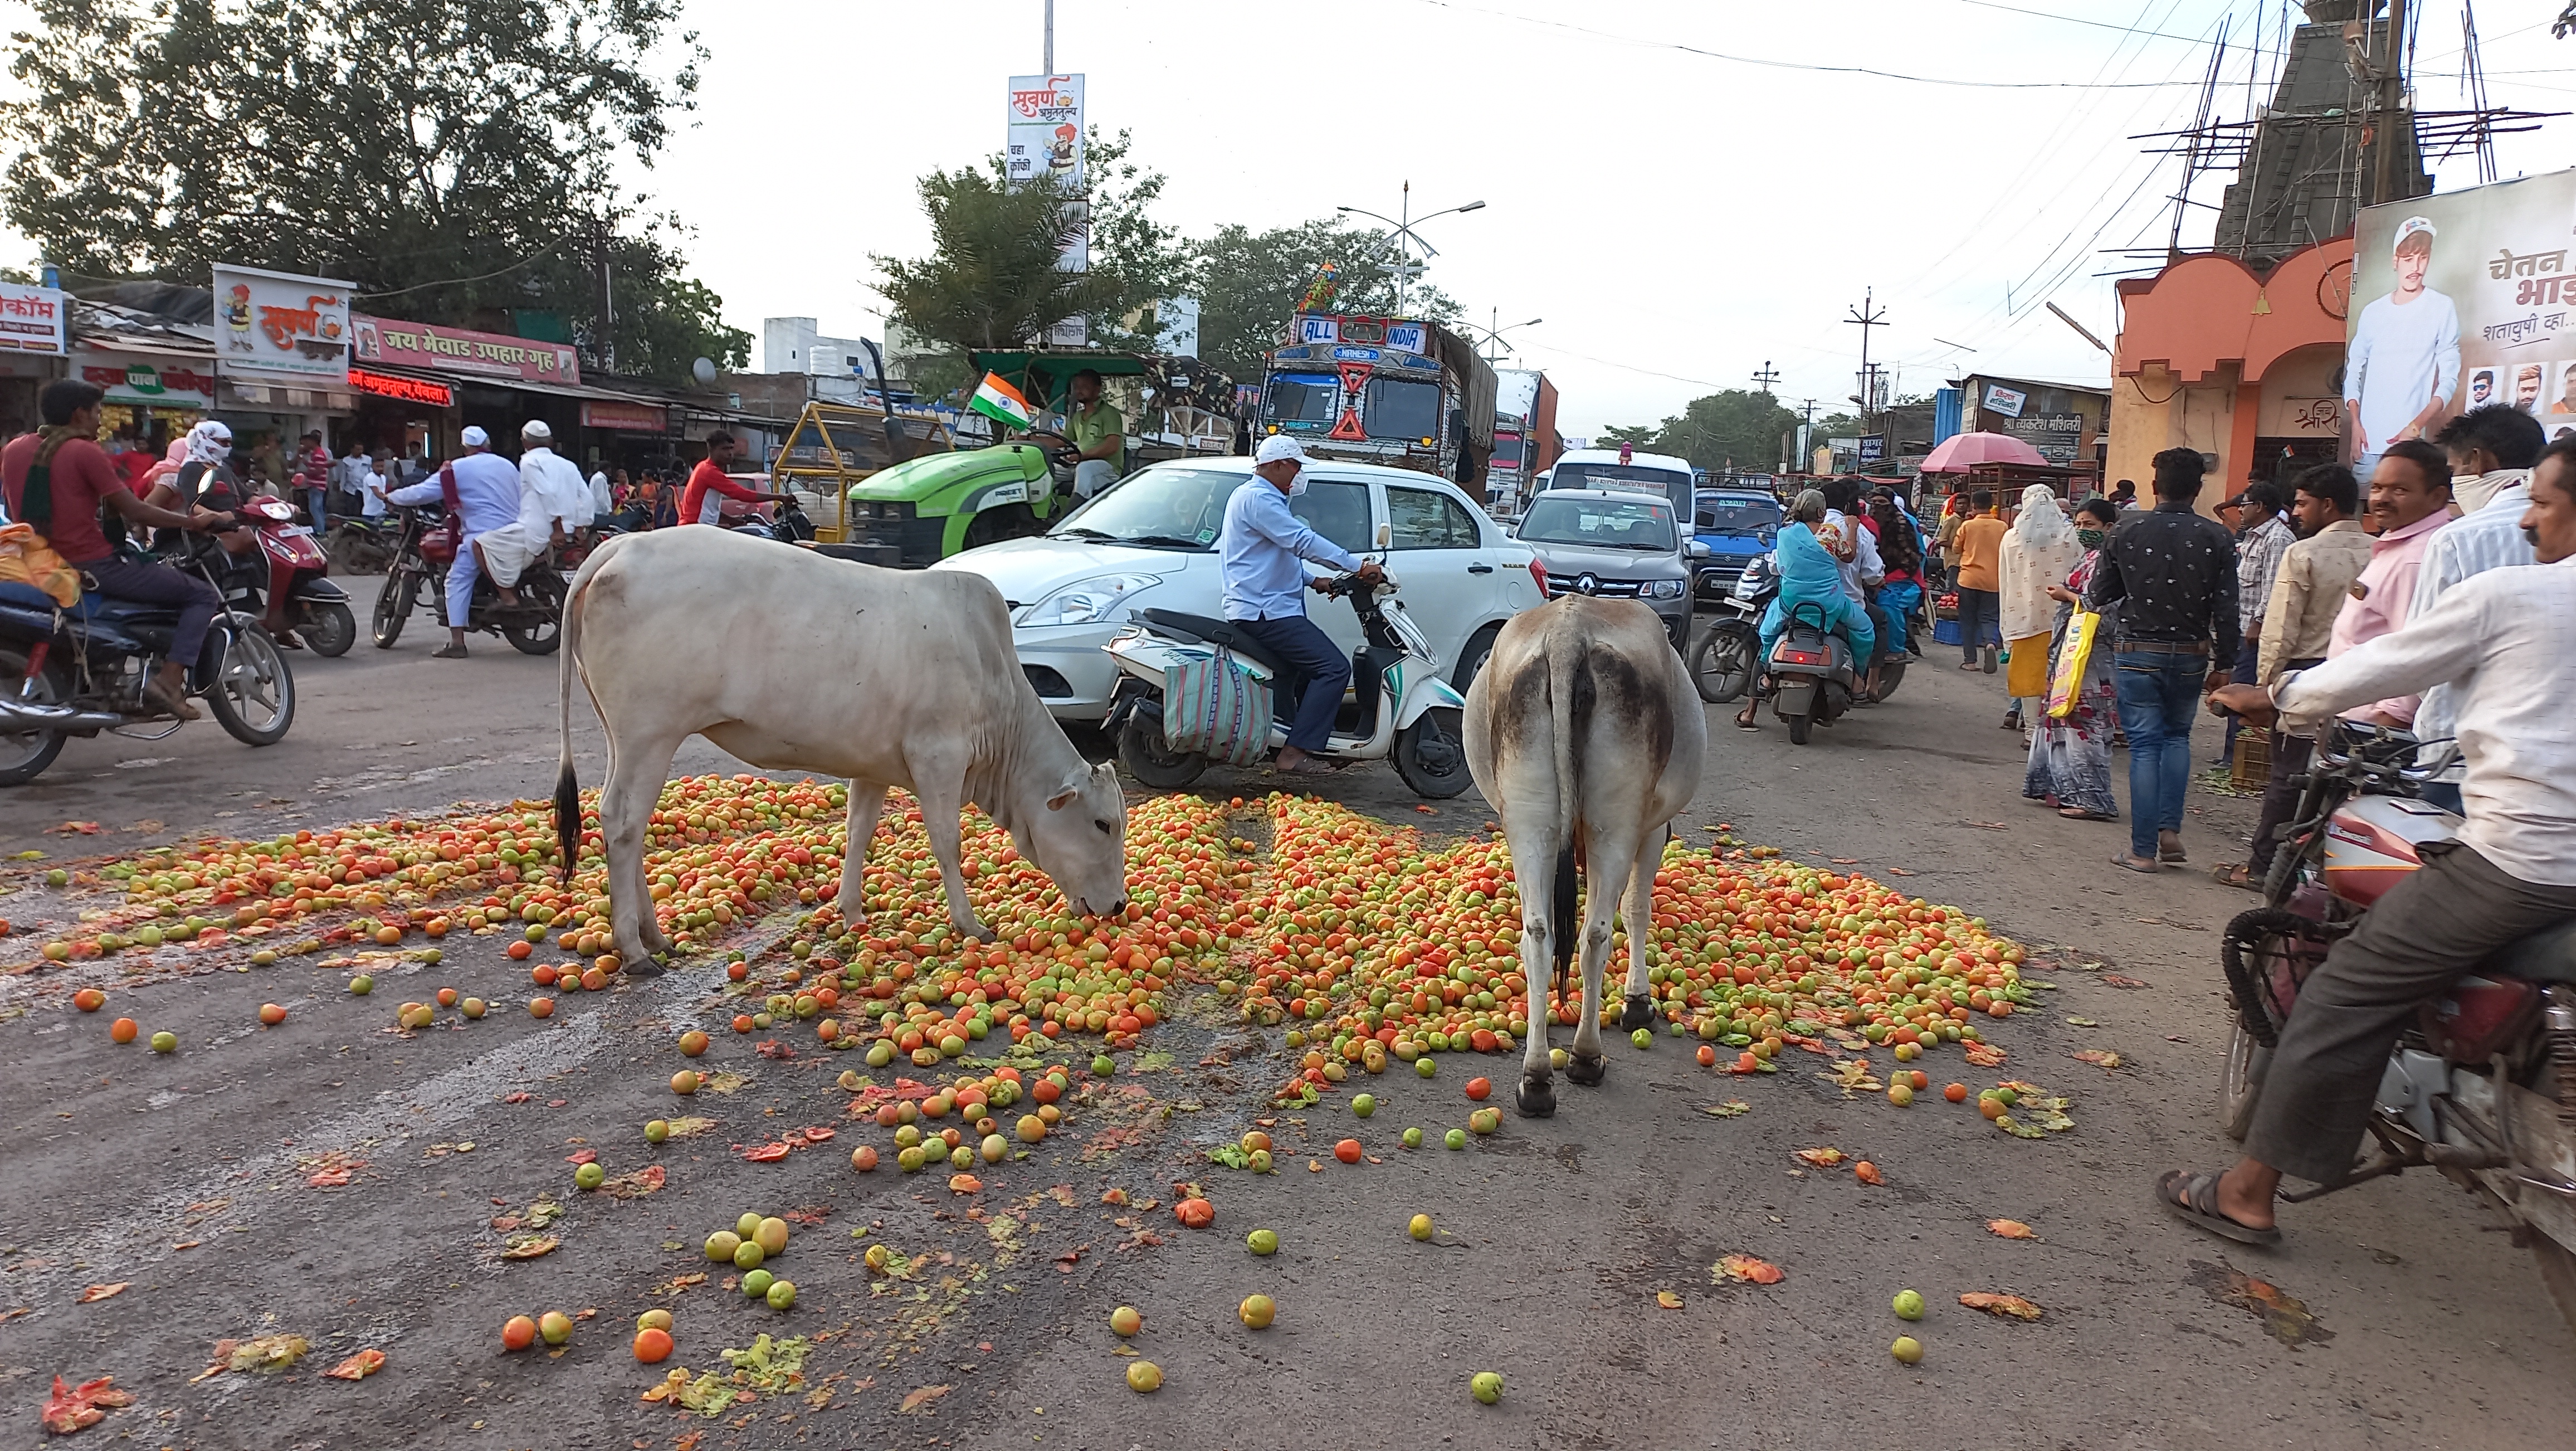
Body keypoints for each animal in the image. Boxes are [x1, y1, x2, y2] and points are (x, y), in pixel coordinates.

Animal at [554, 525, 1128, 974]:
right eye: (1103, 824)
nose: (1120, 905)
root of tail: (621, 547)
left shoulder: (873, 767)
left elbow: (859, 832)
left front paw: (852, 912)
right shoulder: (938, 759)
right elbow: (947, 843)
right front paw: (970, 924)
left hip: (622, 736)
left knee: (624, 822)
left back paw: (654, 937)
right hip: (649, 733)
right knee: (623, 820)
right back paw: (634, 950)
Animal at [1463, 595, 1700, 1118]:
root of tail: (1568, 634)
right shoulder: (1651, 831)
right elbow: (1636, 910)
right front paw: (1638, 1002)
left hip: (1529, 821)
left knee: (1538, 935)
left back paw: (1535, 1080)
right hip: (1615, 823)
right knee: (1595, 935)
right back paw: (1586, 1058)